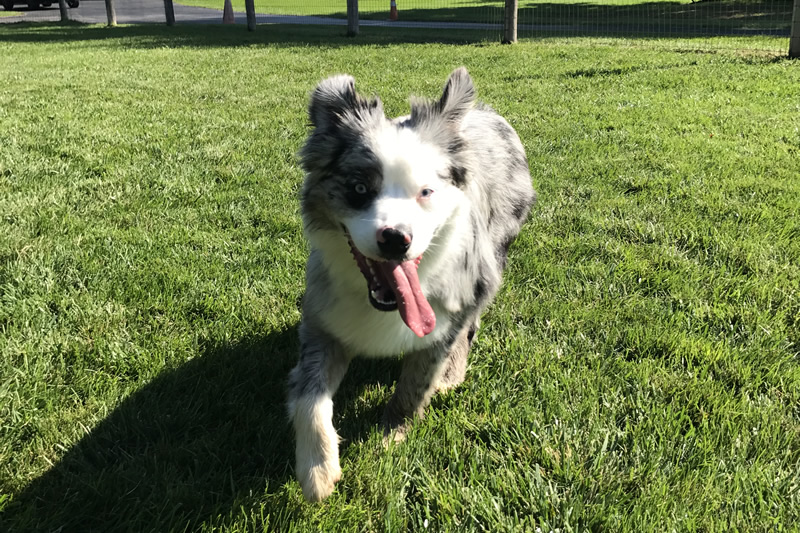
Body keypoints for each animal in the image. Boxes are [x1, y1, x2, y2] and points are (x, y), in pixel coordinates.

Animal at [284, 68, 536, 500]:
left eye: (426, 192)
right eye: (359, 189)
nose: (395, 239)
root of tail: (487, 112)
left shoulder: (449, 312)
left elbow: (415, 384)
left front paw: (391, 435)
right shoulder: (324, 320)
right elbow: (307, 396)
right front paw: (317, 468)